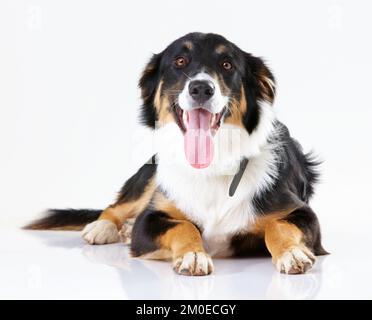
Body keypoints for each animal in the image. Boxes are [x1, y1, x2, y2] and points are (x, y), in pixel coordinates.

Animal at [26, 33, 326, 276]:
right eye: (180, 62)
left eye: (227, 65)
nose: (201, 88)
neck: (213, 167)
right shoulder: (148, 222)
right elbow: (183, 226)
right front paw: (193, 254)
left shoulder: (302, 212)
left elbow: (278, 225)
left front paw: (292, 252)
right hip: (150, 175)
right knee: (114, 207)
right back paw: (104, 227)